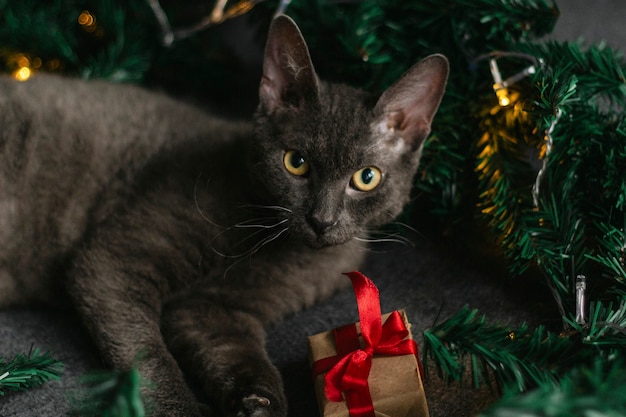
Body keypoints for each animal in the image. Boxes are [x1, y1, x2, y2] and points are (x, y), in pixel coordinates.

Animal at [0, 14, 448, 416]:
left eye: (366, 178)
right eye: (296, 162)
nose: (321, 220)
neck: (275, 248)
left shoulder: (218, 310)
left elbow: (232, 351)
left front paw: (258, 404)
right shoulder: (113, 262)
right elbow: (147, 353)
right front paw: (179, 409)